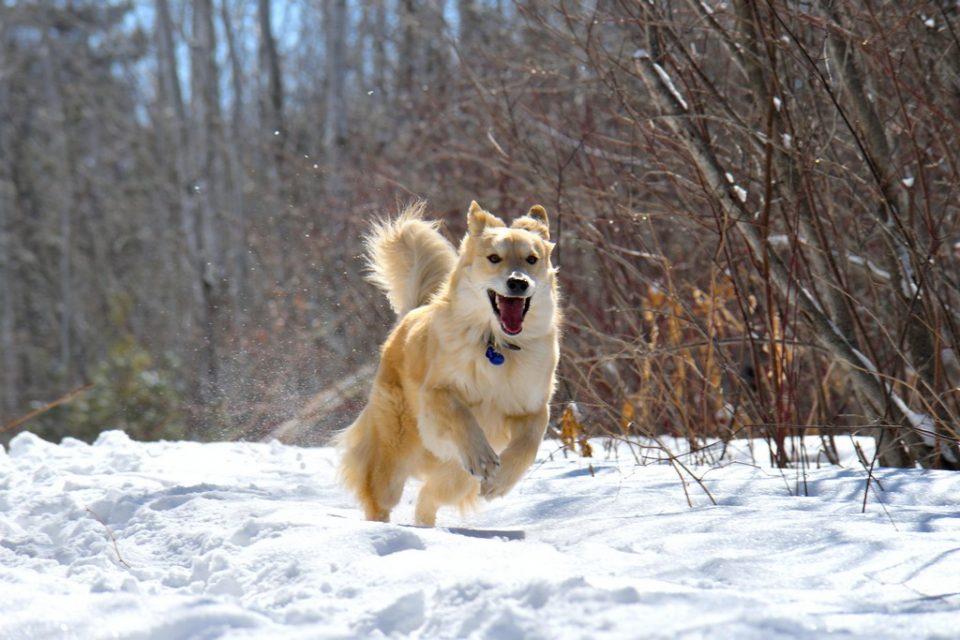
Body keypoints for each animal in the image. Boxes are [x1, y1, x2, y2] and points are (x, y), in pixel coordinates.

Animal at [340, 200, 560, 524]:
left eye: (532, 259)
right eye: (494, 258)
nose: (518, 282)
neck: (495, 344)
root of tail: (410, 314)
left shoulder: (532, 407)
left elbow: (528, 443)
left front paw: (500, 480)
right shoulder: (436, 394)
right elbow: (461, 414)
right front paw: (483, 459)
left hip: (456, 477)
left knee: (427, 498)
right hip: (393, 457)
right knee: (380, 499)